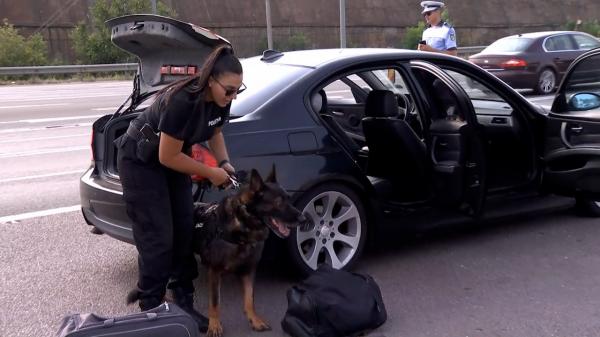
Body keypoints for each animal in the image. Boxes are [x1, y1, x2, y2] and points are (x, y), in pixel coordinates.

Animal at [193, 166, 304, 336]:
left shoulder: (249, 270)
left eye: (288, 199)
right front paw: (214, 324)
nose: (304, 219)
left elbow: (249, 299)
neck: (243, 228)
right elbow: (215, 302)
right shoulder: (215, 271)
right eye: (278, 203)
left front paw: (255, 320)